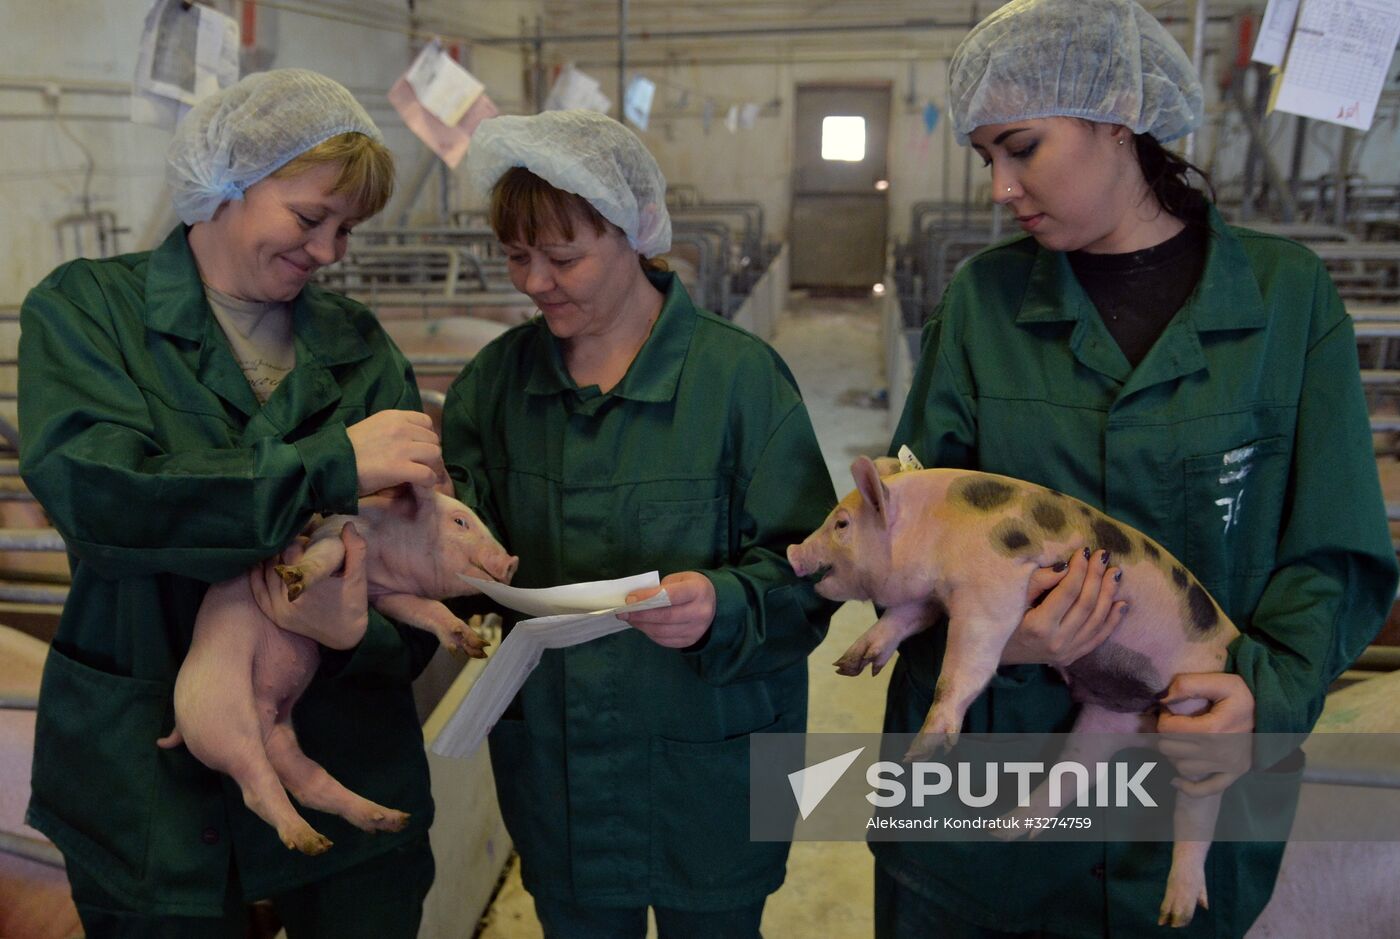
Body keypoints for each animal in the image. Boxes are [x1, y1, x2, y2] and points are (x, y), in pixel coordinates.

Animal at [158, 489, 518, 856]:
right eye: (460, 521)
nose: (512, 561)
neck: (383, 563)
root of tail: (180, 725)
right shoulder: (335, 533)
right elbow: (327, 555)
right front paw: (292, 577)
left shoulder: (386, 596)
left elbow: (427, 609)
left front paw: (476, 645)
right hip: (226, 722)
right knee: (256, 788)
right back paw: (310, 839)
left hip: (276, 732)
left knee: (308, 782)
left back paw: (383, 821)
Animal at [795, 456, 1243, 923]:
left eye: (841, 524)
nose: (793, 553)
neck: (934, 525)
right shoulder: (933, 597)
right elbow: (900, 619)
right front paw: (848, 663)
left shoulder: (993, 584)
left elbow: (966, 659)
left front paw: (921, 751)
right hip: (1108, 719)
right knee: (1077, 769)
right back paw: (1001, 830)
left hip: (1195, 709)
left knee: (1198, 802)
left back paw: (1175, 915)